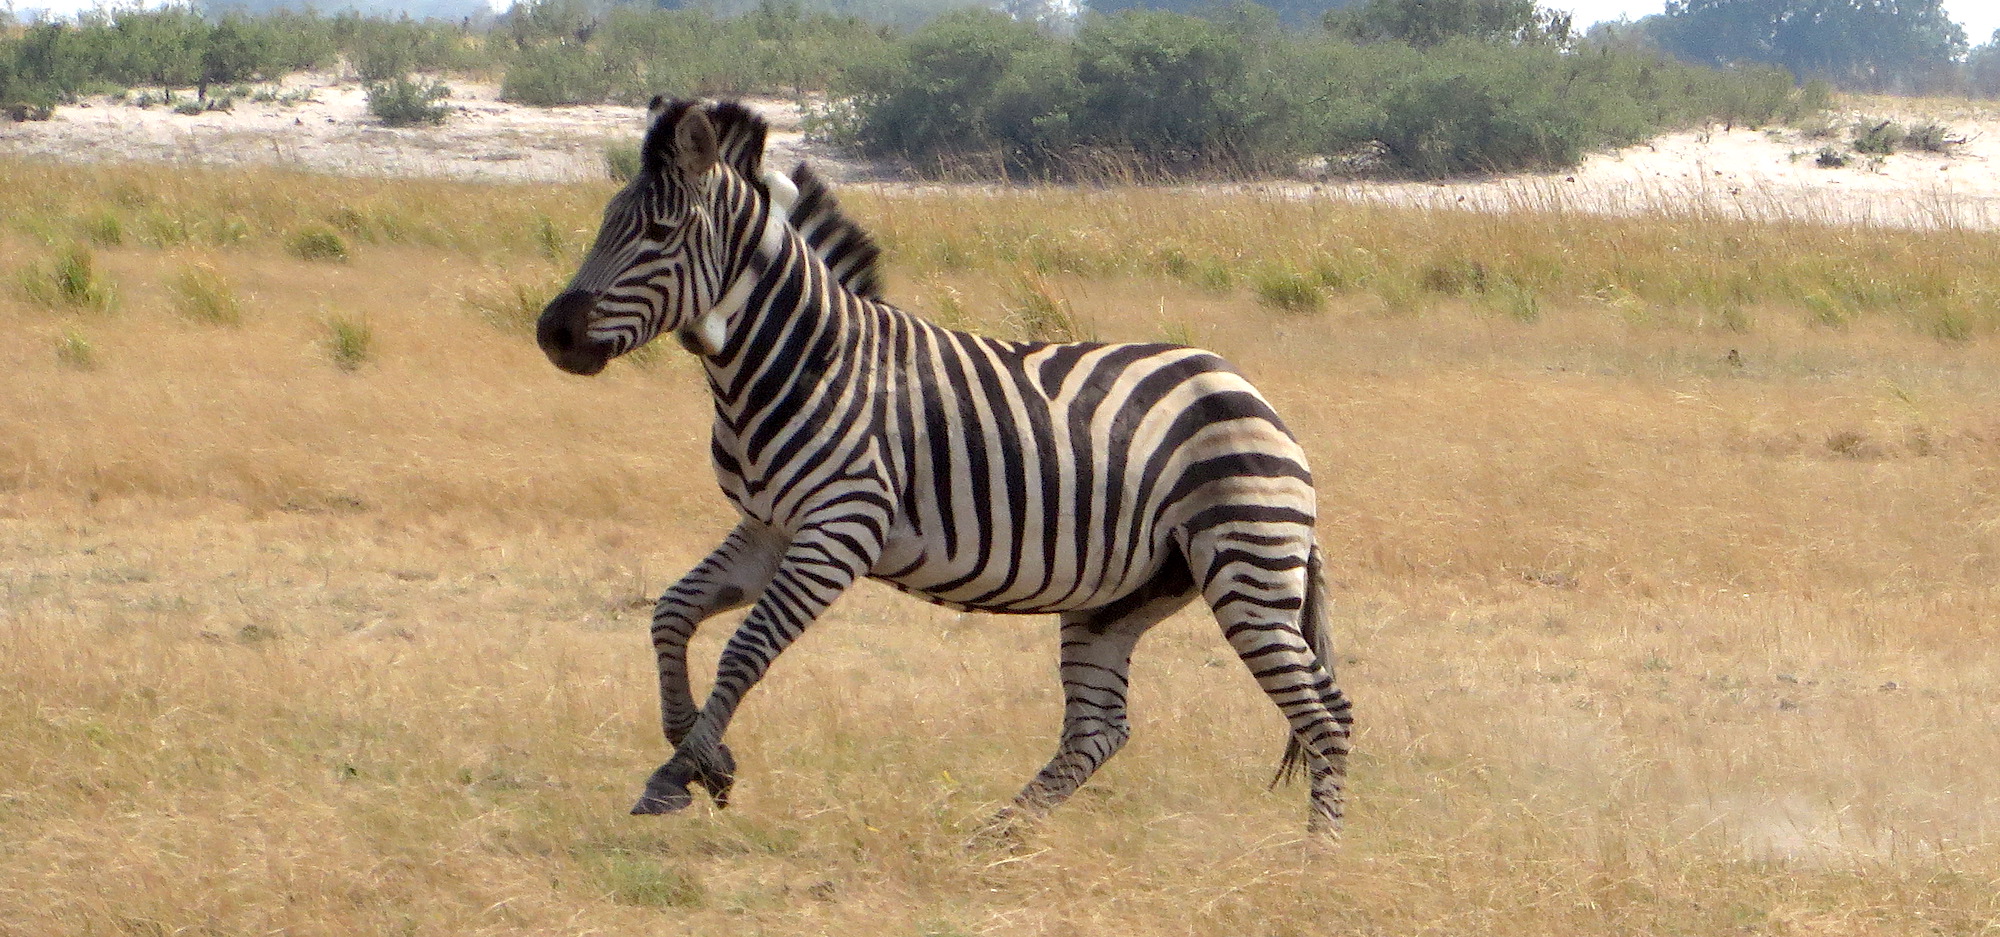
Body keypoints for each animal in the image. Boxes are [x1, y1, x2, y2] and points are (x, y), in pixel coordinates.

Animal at [532, 100, 1352, 832]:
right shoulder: (768, 526)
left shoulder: (840, 527)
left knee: (1326, 713)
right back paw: (994, 839)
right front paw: (702, 755)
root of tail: (1256, 397)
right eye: (606, 223)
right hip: (1121, 596)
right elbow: (671, 613)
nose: (552, 333)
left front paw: (678, 774)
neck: (799, 361)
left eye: (658, 232)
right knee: (1099, 729)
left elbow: (744, 651)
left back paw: (1317, 858)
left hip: (1245, 563)